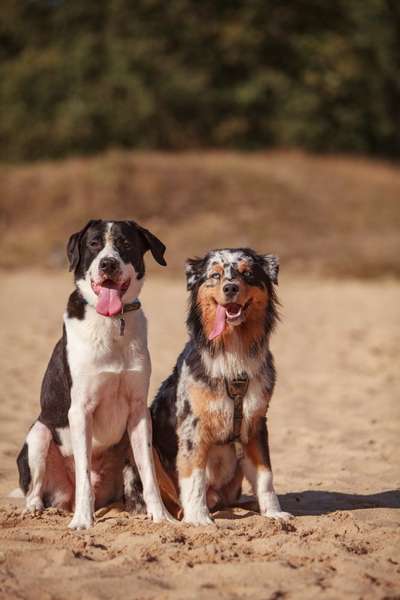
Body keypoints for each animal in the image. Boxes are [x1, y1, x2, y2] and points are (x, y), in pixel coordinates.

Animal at [16, 220, 173, 528]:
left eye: (125, 243)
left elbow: (149, 473)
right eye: (93, 244)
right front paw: (82, 521)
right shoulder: (79, 410)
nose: (108, 264)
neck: (112, 322)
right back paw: (36, 508)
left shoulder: (139, 411)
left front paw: (161, 516)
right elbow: (84, 472)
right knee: (37, 487)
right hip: (39, 433)